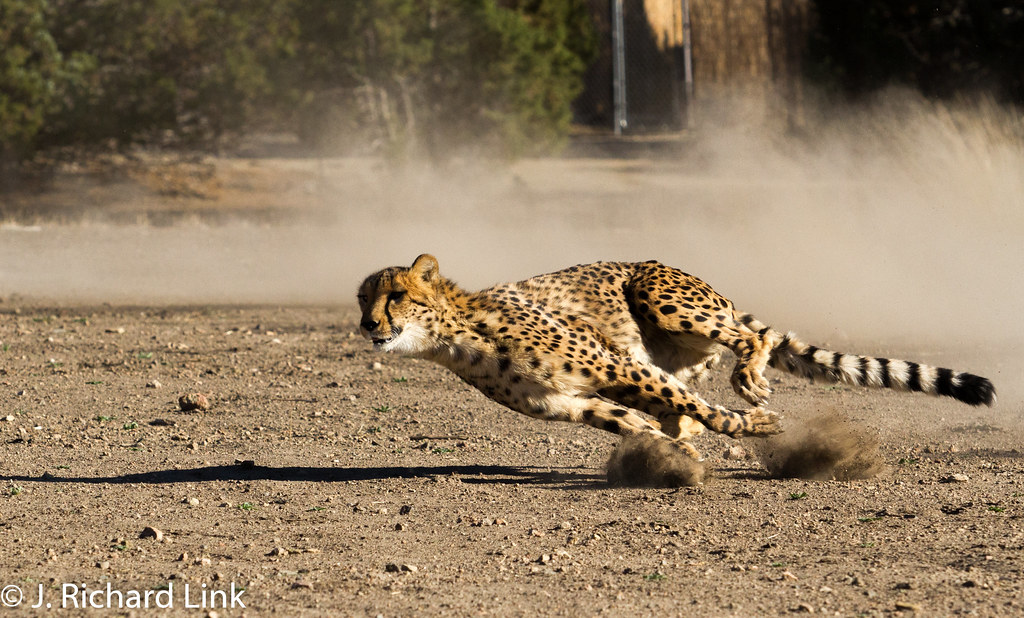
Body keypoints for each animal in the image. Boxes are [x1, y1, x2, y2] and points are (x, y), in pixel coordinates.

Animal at [356, 255, 995, 462]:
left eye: (397, 296)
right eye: (364, 298)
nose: (367, 325)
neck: (456, 335)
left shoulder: (617, 366)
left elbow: (711, 415)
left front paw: (757, 426)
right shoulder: (572, 402)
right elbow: (634, 423)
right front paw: (671, 454)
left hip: (658, 297)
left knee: (750, 341)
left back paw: (750, 381)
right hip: (667, 353)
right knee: (685, 397)